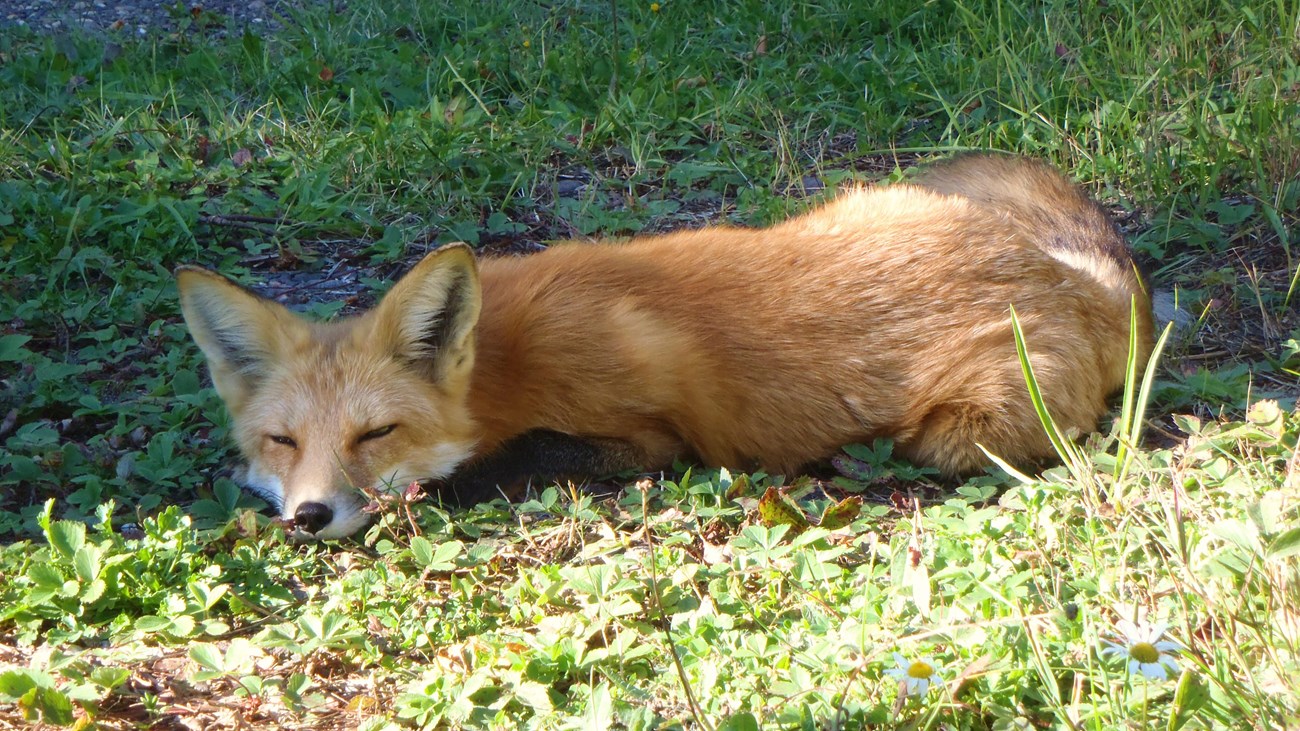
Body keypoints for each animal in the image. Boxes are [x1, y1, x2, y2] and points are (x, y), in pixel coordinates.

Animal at [175, 153, 1159, 535]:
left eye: (375, 433)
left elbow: (505, 460)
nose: (309, 515)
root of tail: (1077, 279)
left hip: (965, 432)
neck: (504, 362)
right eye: (282, 439)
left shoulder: (645, 439)